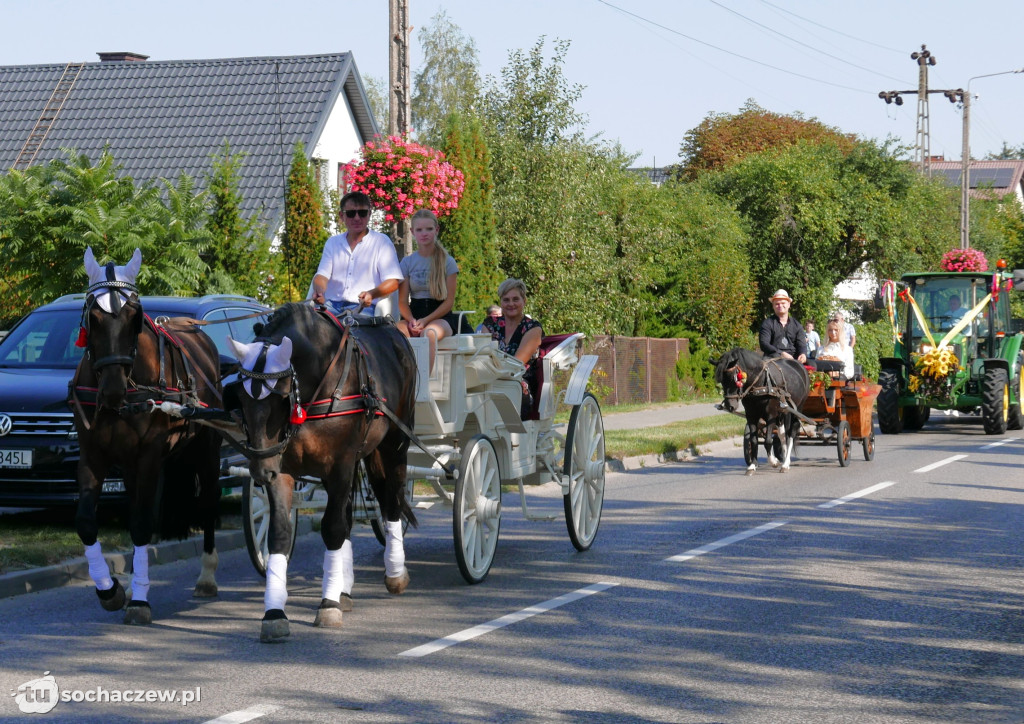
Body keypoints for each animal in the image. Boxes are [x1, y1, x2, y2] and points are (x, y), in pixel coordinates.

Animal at [69, 247, 222, 622]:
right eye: (94, 317)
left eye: (134, 316)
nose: (112, 391)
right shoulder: (92, 453)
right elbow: (86, 523)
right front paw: (110, 590)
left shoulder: (150, 456)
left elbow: (141, 524)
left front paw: (139, 600)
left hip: (206, 450)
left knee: (208, 503)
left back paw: (207, 576)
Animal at [225, 303, 415, 643]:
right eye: (241, 399)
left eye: (280, 398)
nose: (259, 472)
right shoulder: (283, 469)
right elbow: (280, 533)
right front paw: (274, 612)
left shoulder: (340, 463)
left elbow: (333, 528)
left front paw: (328, 605)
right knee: (351, 514)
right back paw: (344, 589)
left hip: (394, 443)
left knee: (390, 501)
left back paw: (394, 572)